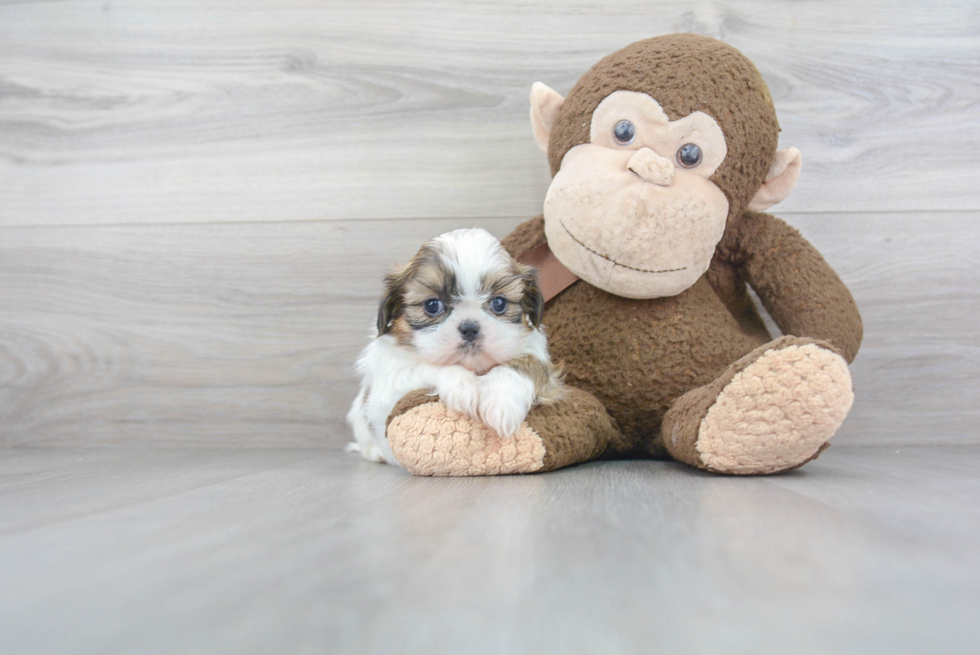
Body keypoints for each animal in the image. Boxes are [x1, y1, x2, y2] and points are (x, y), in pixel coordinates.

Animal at [346, 228, 564, 464]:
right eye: (432, 305)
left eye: (499, 303)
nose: (469, 328)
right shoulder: (387, 386)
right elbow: (423, 366)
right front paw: (463, 386)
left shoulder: (536, 351)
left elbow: (529, 362)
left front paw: (502, 401)